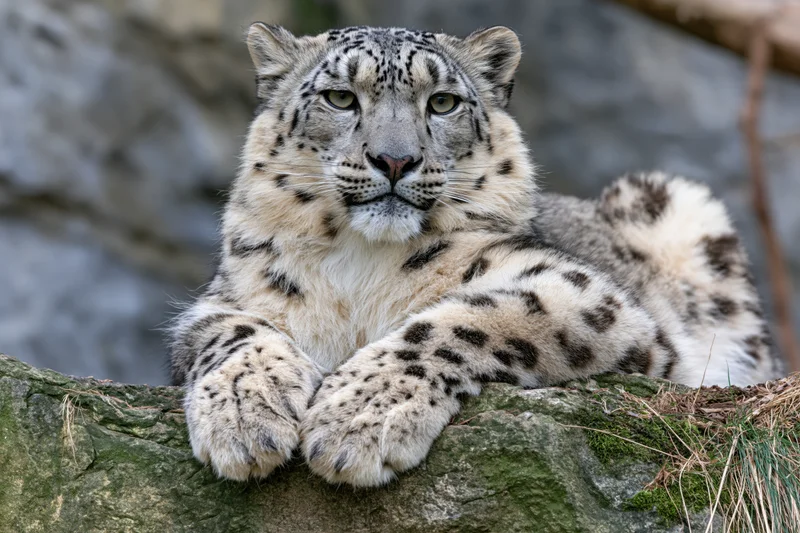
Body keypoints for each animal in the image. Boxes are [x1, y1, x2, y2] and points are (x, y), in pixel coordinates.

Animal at [170, 23, 783, 487]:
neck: (360, 263)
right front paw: (245, 419)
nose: (395, 160)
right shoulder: (229, 294)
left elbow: (470, 318)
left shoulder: (580, 288)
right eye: (340, 97)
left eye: (442, 102)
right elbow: (233, 333)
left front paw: (359, 418)